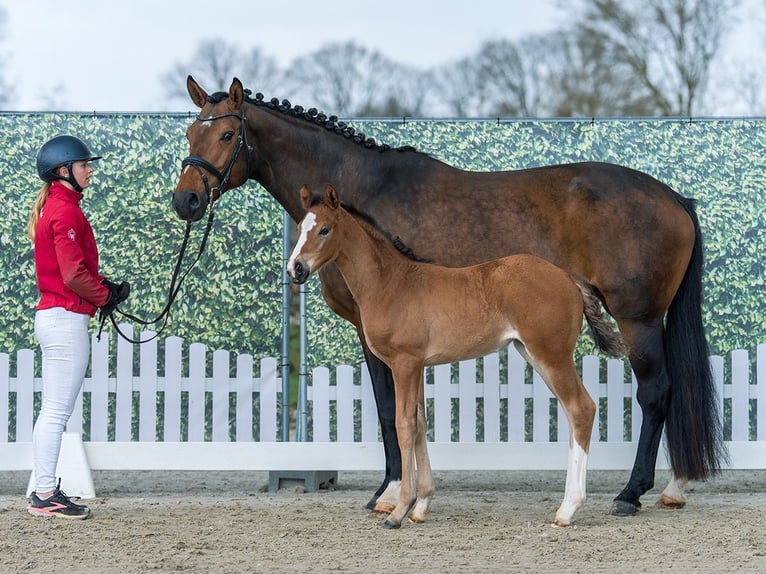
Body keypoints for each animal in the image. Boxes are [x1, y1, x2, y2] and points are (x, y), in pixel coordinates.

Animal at [288, 183, 627, 528]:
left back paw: (567, 509)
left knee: (581, 409)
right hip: (534, 354)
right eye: (300, 228)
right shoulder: (418, 365)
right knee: (573, 413)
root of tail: (568, 277)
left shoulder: (404, 363)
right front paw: (421, 506)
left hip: (552, 355)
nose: (295, 268)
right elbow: (420, 423)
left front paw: (398, 511)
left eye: (325, 230)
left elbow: (403, 425)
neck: (391, 283)